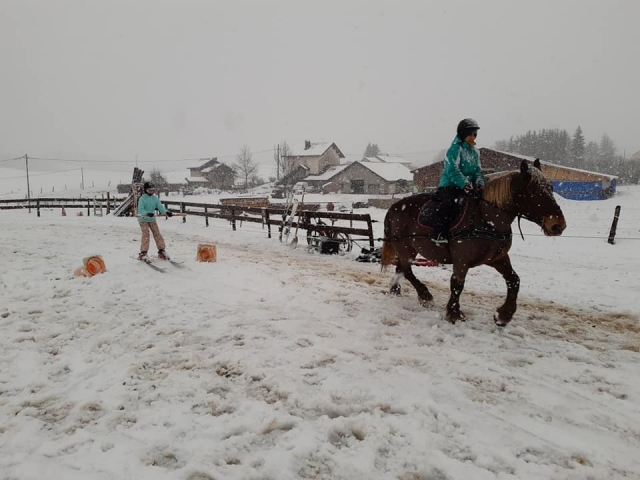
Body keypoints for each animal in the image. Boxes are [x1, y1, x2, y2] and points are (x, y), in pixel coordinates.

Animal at [380, 159, 566, 326]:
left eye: (551, 188)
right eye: (534, 191)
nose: (558, 225)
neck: (486, 219)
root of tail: (394, 206)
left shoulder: (498, 258)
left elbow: (514, 280)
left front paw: (504, 315)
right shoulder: (462, 260)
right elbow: (457, 284)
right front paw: (454, 313)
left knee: (401, 268)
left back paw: (396, 290)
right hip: (405, 247)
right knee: (406, 270)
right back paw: (424, 295)